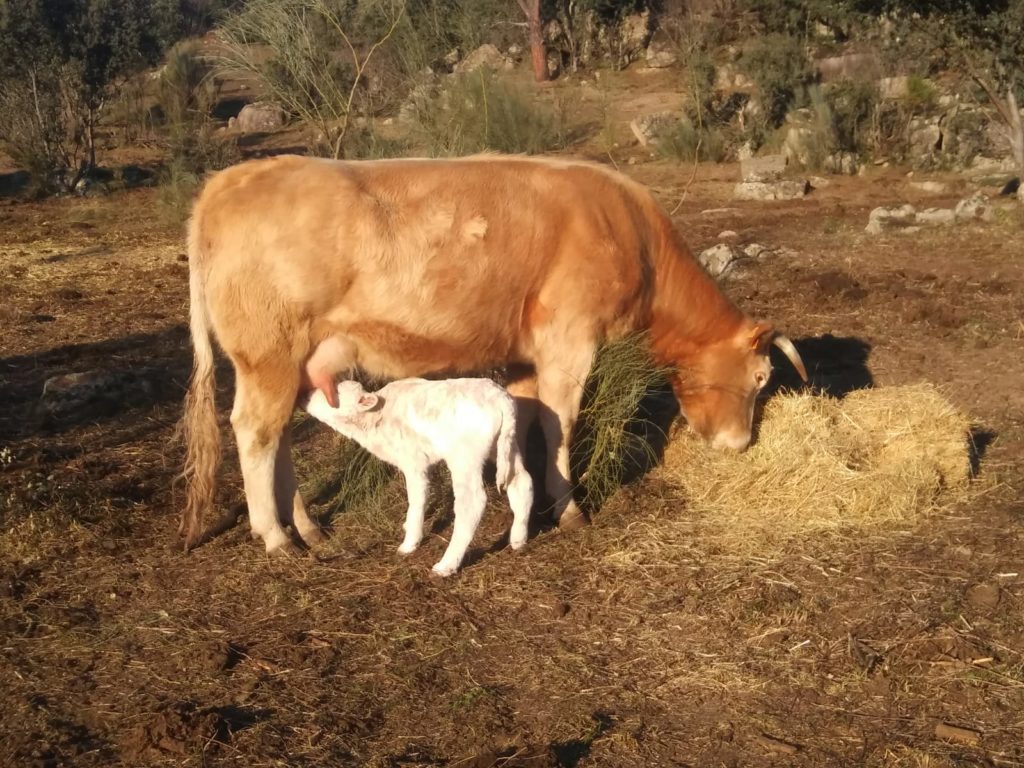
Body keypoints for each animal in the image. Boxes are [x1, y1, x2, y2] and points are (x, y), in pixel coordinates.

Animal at [180, 153, 802, 557]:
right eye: (761, 376)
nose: (740, 444)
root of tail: (232, 178)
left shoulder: (525, 355)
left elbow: (526, 418)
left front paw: (522, 498)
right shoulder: (570, 340)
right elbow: (561, 425)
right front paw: (568, 508)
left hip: (292, 362)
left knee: (279, 435)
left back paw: (307, 528)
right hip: (266, 353)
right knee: (255, 432)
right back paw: (275, 537)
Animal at [303, 378, 536, 577]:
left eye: (334, 392)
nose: (306, 394)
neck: (376, 419)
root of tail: (500, 398)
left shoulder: (413, 461)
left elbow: (416, 499)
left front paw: (409, 543)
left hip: (464, 456)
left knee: (471, 503)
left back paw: (446, 566)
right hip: (504, 445)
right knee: (522, 481)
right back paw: (518, 539)